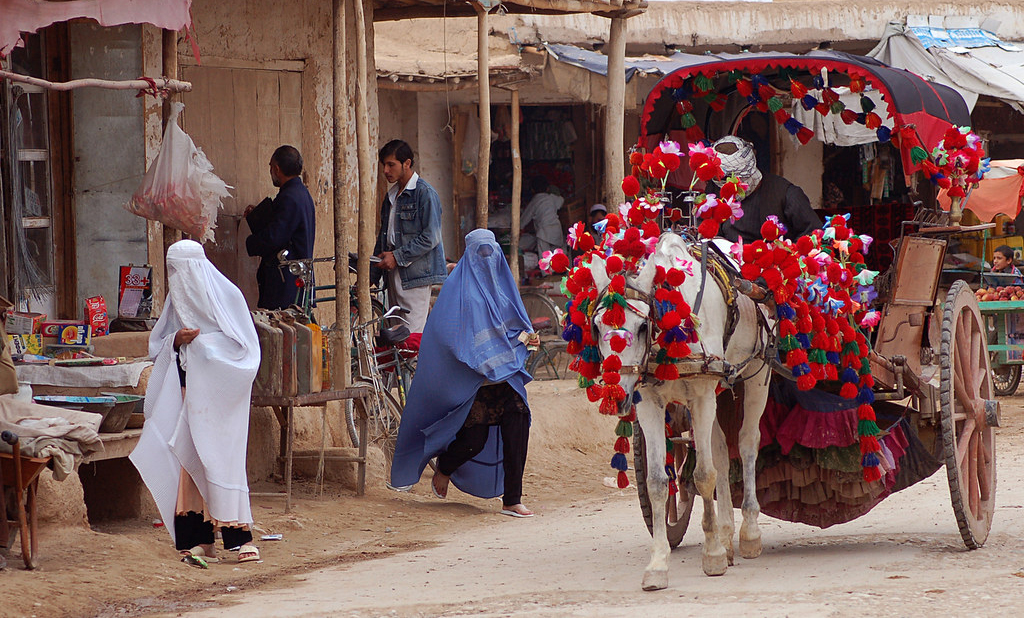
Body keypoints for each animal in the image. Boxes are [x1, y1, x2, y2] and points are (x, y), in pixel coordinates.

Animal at [589, 233, 770, 589]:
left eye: (642, 327)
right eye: (597, 326)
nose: (617, 395)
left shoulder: (701, 395)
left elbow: (703, 475)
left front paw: (712, 556)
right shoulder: (649, 403)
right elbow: (658, 482)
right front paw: (658, 564)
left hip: (758, 374)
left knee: (746, 444)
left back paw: (749, 533)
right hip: (718, 391)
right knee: (720, 451)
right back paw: (726, 535)